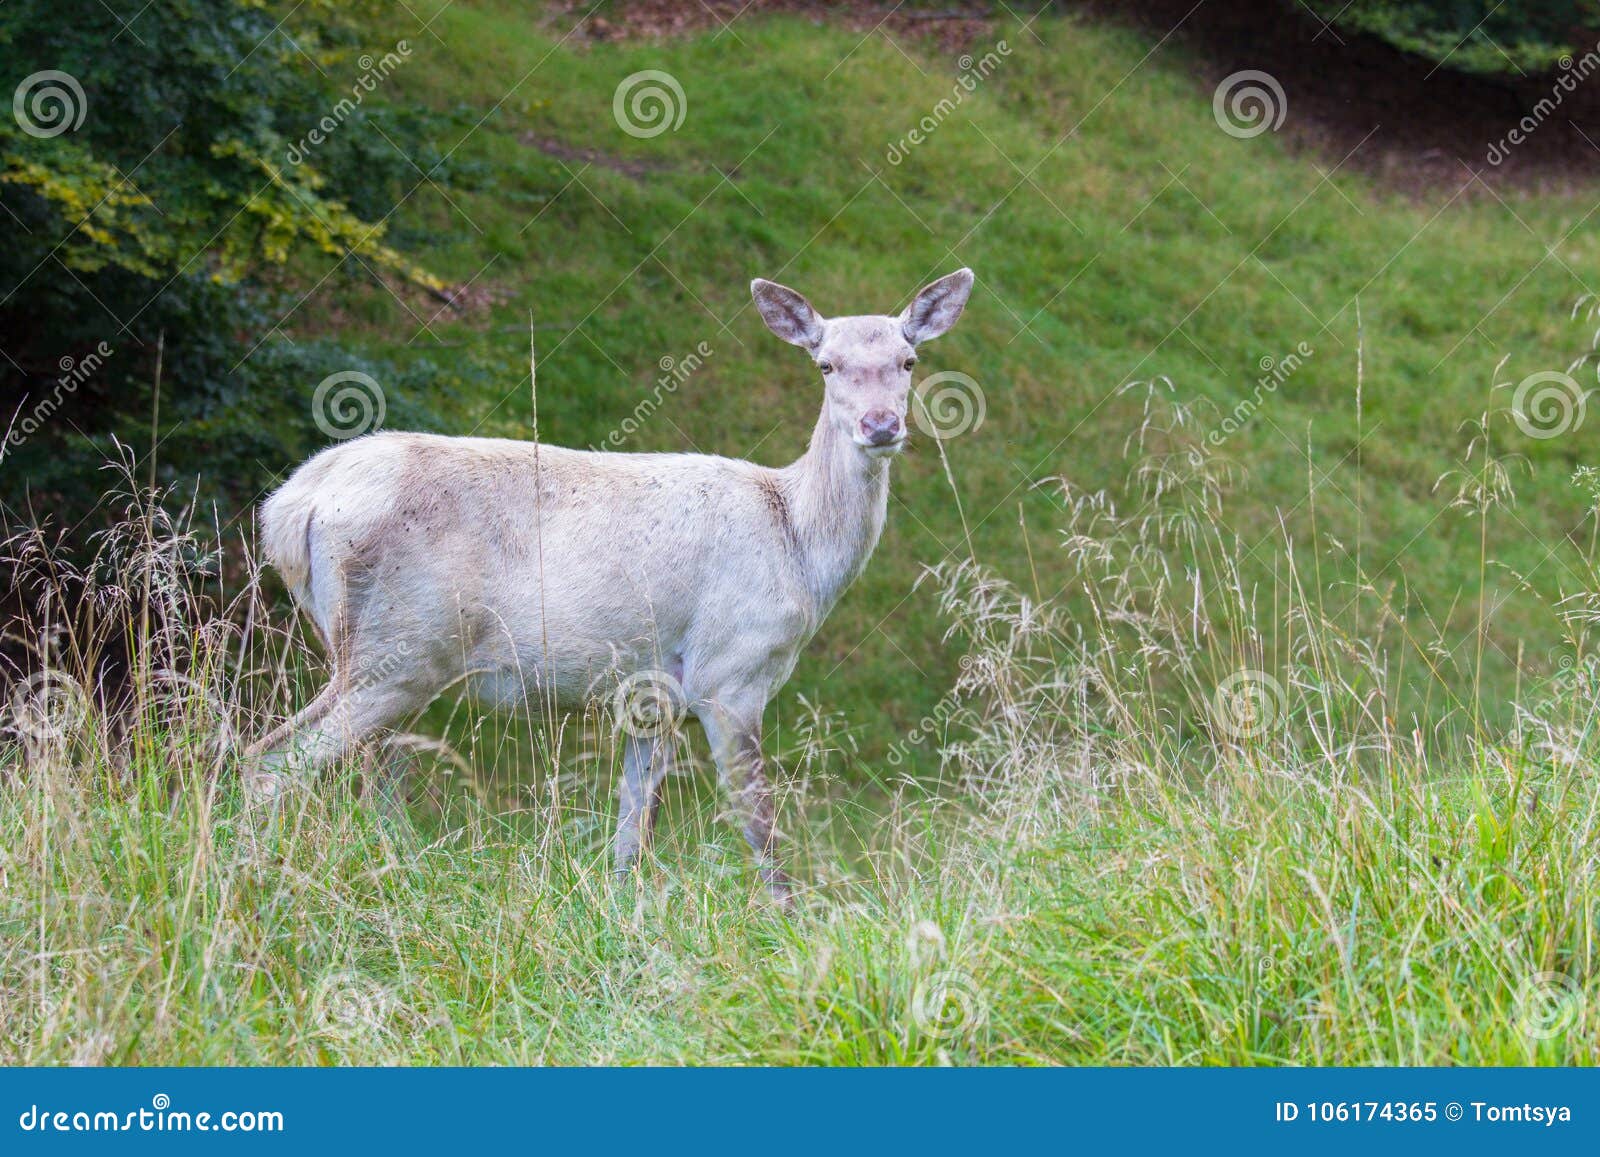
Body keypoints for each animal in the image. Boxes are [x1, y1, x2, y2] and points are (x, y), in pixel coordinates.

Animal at [249, 267, 972, 902]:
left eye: (909, 360)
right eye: (826, 364)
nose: (881, 425)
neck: (796, 543)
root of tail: (289, 508)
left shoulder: (654, 694)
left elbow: (632, 832)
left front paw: (621, 915)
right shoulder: (728, 671)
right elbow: (758, 823)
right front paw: (792, 923)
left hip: (379, 656)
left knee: (364, 774)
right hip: (394, 650)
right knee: (271, 761)